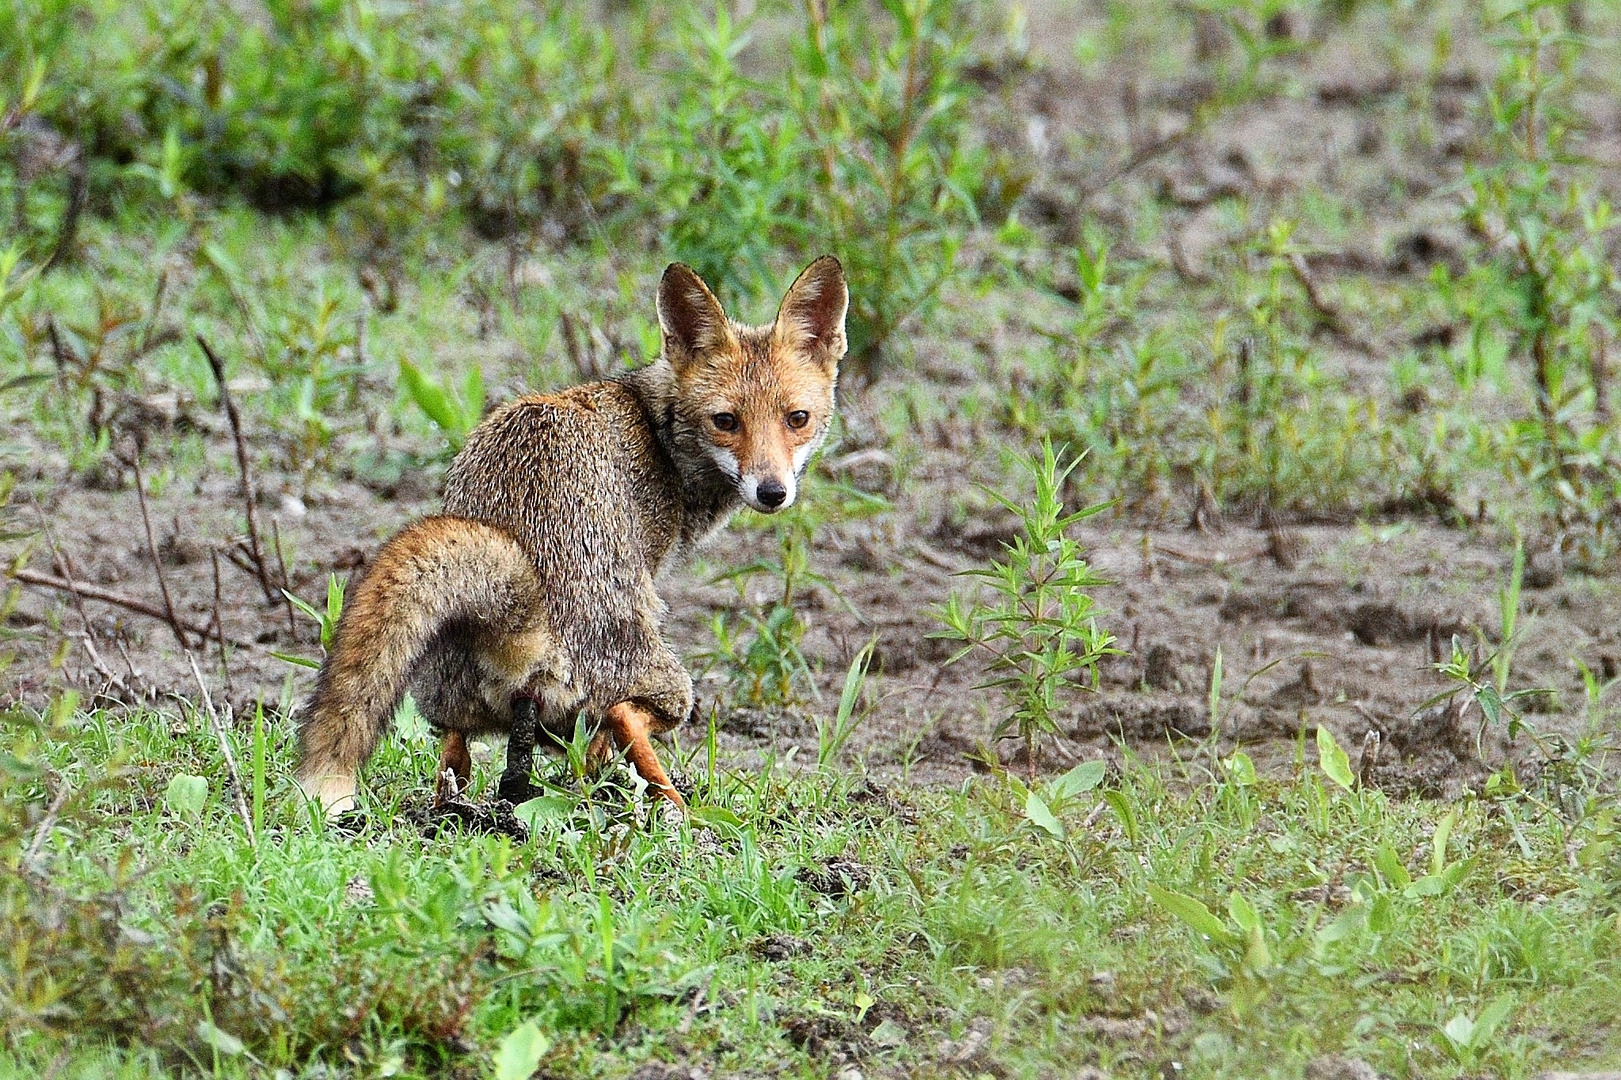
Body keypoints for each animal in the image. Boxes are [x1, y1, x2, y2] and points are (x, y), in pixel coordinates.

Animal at [296, 254, 849, 807]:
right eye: (726, 421)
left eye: (797, 418)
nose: (772, 492)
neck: (656, 435)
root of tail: (526, 624)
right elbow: (610, 730)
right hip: (669, 680)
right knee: (627, 713)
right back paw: (673, 807)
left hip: (446, 692)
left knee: (454, 749)